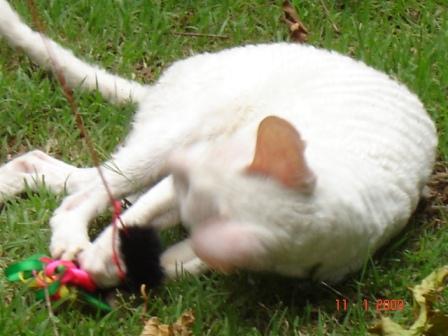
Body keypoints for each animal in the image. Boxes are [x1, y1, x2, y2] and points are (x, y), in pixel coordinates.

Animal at [0, 1, 436, 288]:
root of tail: (167, 80)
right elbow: (134, 221)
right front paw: (101, 257)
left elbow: (173, 262)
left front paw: (110, 265)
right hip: (179, 133)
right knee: (85, 193)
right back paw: (70, 238)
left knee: (68, 178)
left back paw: (18, 186)